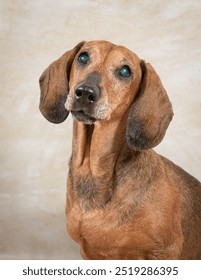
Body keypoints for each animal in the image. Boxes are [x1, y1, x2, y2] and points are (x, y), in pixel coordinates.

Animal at [39, 40, 201, 260]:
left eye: (125, 71)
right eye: (83, 57)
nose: (85, 93)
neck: (93, 172)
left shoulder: (165, 251)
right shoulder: (88, 252)